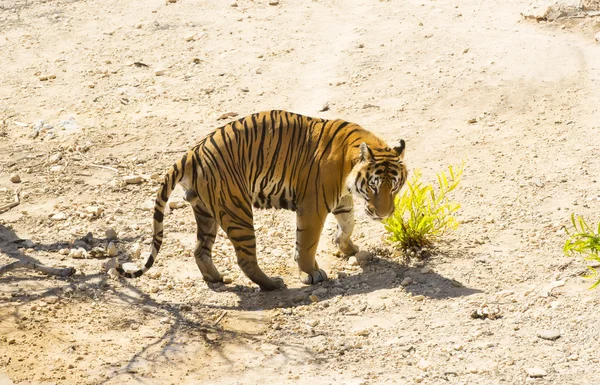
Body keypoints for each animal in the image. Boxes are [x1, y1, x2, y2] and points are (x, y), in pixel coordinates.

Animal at [112, 109, 408, 290]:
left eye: (393, 187)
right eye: (373, 186)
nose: (384, 214)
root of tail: (192, 152)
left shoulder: (340, 199)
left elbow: (348, 224)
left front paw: (347, 247)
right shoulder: (313, 205)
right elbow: (307, 243)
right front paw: (310, 273)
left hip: (206, 211)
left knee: (200, 250)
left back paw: (216, 278)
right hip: (237, 210)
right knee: (245, 258)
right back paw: (273, 284)